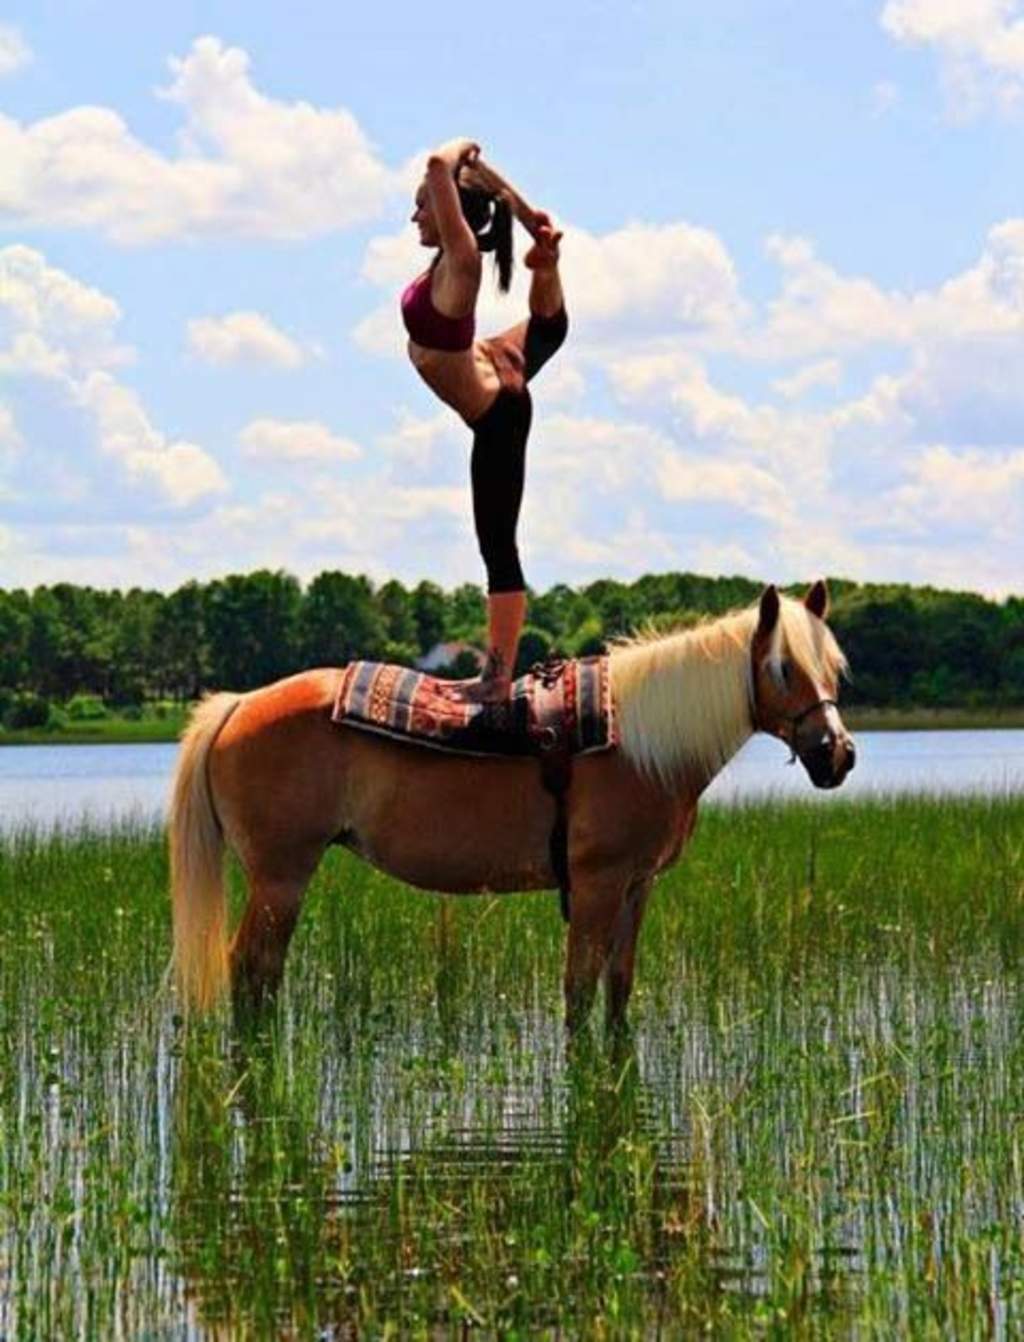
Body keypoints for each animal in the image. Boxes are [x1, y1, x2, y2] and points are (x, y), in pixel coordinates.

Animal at [169, 581, 855, 1034]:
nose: (837, 754)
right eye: (781, 668)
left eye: (833, 666)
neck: (640, 743)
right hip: (281, 878)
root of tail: (239, 702)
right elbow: (578, 992)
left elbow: (617, 991)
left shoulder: (637, 886)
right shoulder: (598, 884)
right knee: (250, 971)